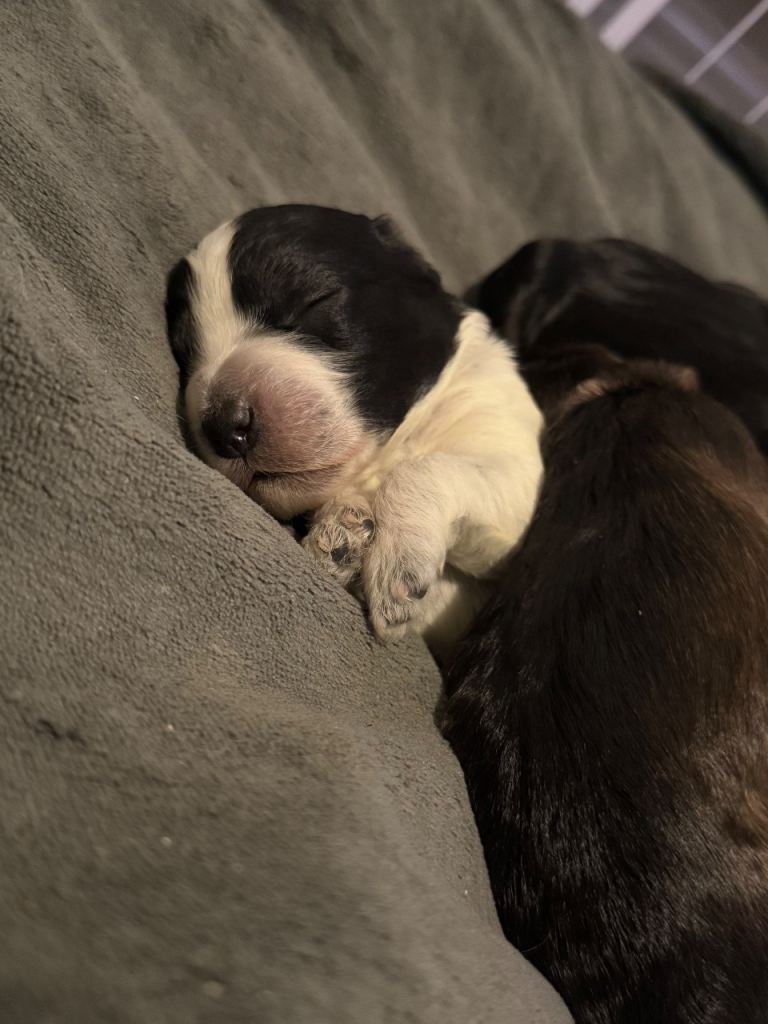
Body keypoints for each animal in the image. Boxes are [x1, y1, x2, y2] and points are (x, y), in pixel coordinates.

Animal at [165, 205, 542, 654]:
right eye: (186, 354)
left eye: (315, 300)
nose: (224, 424)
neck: (383, 457)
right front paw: (341, 536)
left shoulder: (520, 481)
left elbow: (427, 469)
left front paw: (398, 562)